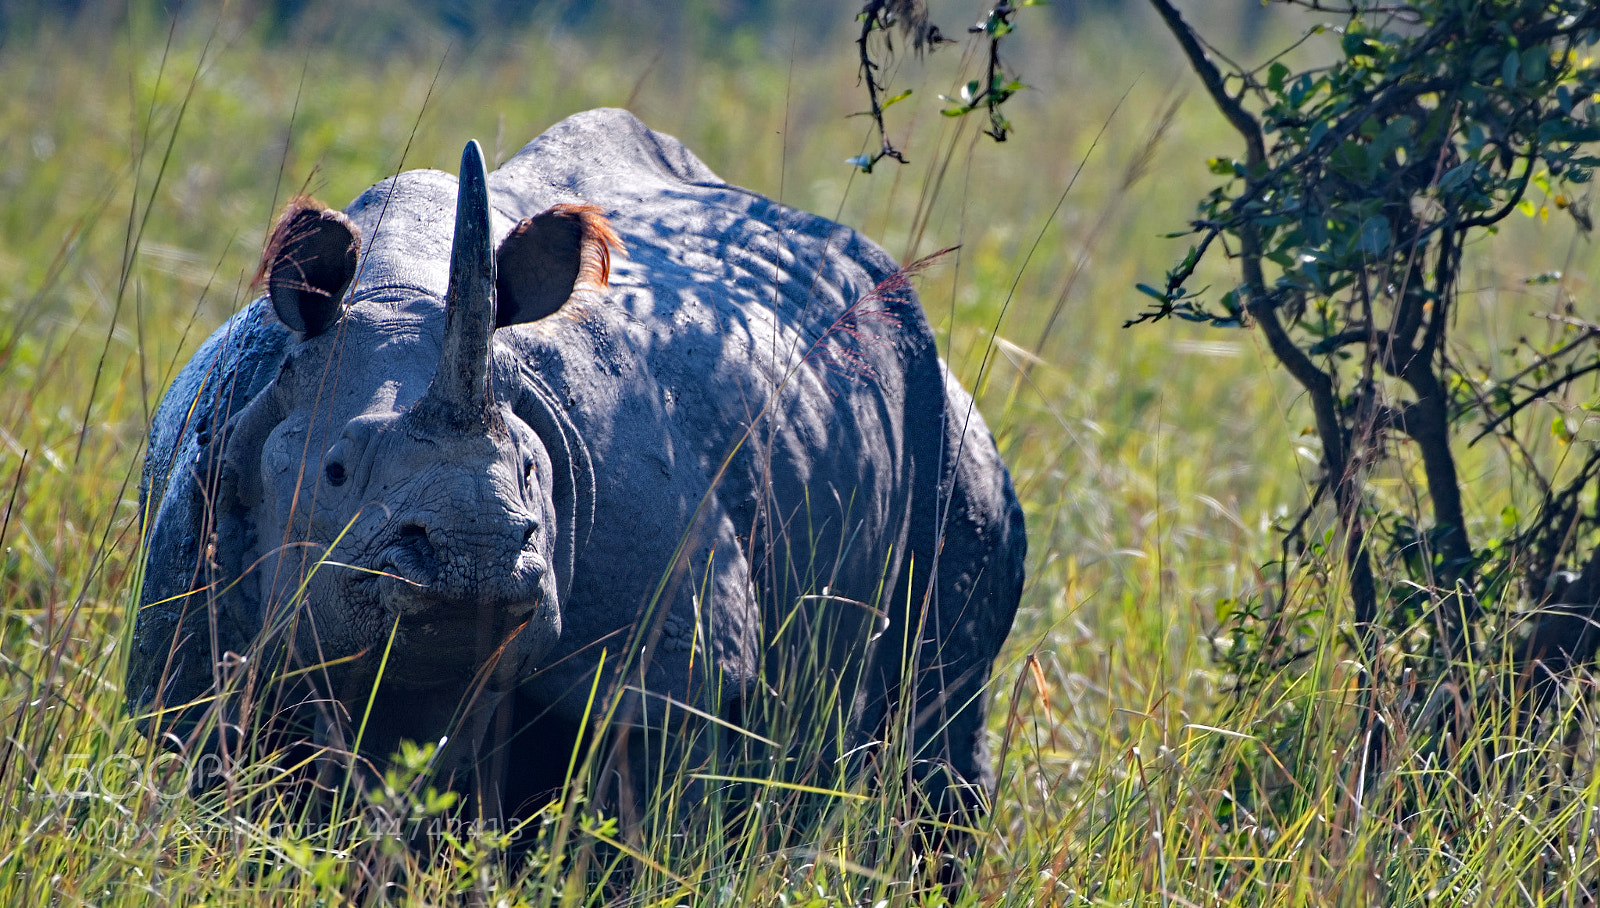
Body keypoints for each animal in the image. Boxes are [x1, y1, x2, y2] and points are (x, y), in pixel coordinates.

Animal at [130, 108, 1024, 830]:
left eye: (533, 470)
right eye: (337, 472)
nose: (479, 556)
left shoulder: (671, 669)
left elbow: (645, 825)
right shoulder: (189, 635)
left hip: (944, 421)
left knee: (937, 726)